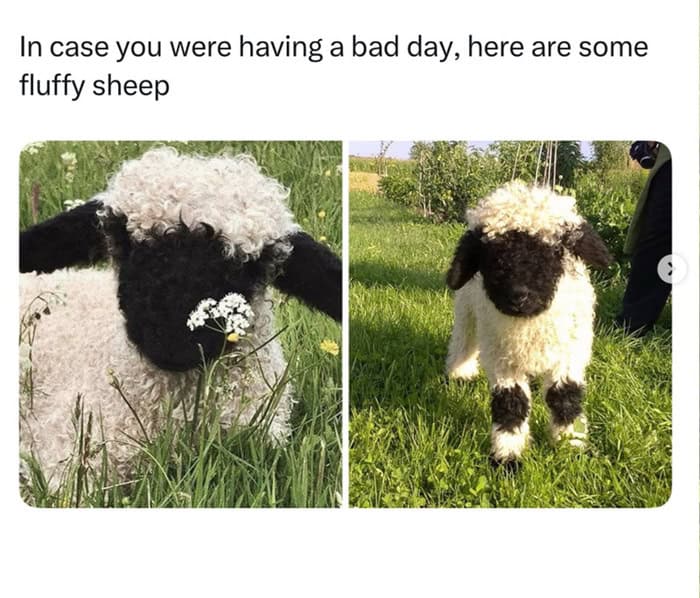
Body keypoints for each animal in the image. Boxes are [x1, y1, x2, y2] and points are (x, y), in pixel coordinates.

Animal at [445, 182, 611, 467]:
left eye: (555, 251)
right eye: (491, 257)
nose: (518, 296)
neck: (529, 325)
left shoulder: (569, 355)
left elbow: (564, 397)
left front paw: (570, 446)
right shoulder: (503, 362)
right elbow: (510, 403)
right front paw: (507, 456)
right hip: (467, 310)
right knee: (463, 340)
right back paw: (460, 373)